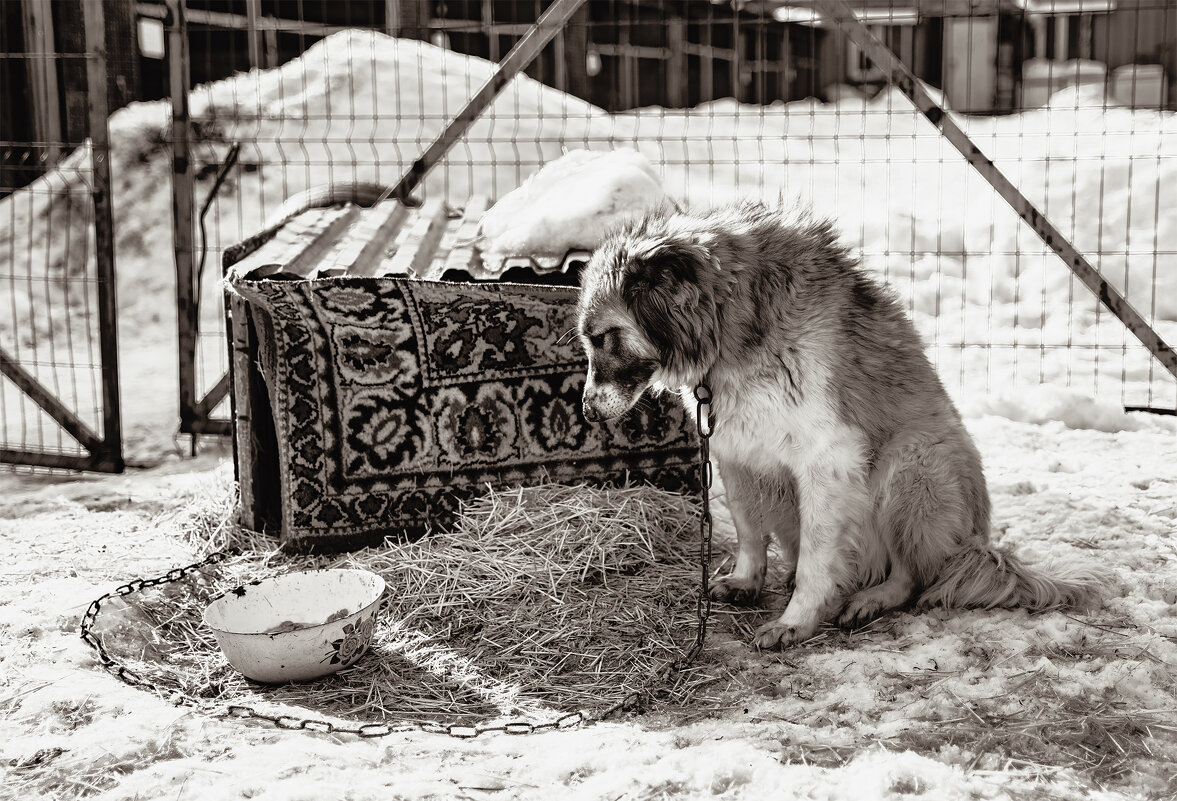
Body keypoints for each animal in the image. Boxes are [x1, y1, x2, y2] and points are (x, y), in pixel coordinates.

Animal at [574, 201, 1096, 649]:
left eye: (603, 337)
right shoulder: (734, 451)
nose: (588, 412)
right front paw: (746, 581)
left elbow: (816, 557)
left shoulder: (828, 459)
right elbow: (748, 529)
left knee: (912, 575)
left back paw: (869, 598)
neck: (735, 327)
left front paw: (795, 622)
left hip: (916, 463)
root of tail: (974, 544)